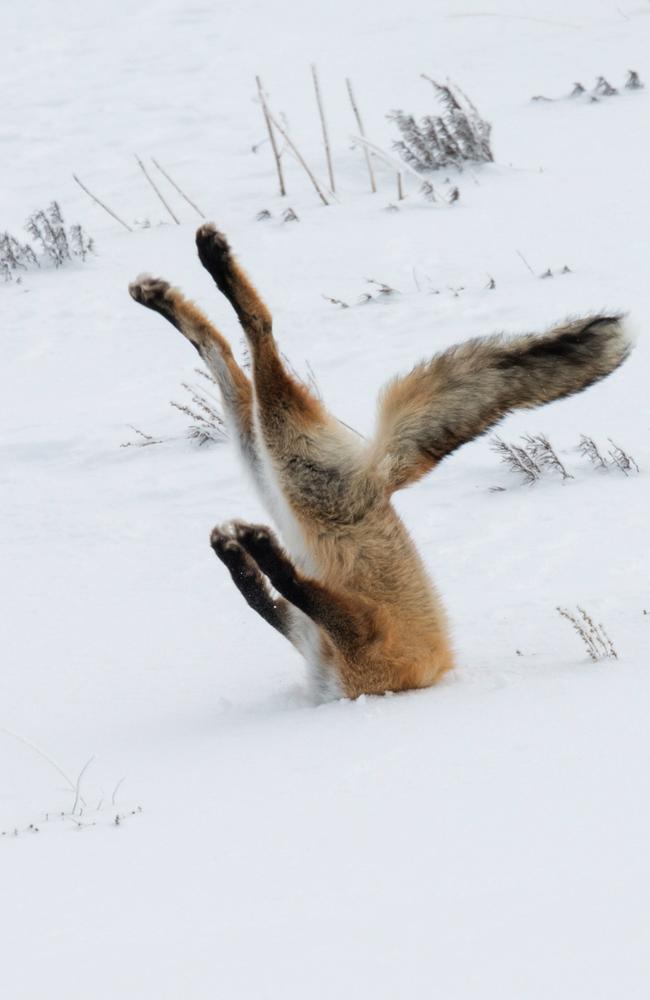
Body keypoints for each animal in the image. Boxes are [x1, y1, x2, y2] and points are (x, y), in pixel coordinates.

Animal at [129, 224, 632, 700]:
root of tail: (382, 476)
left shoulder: (361, 637)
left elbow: (285, 588)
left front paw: (254, 549)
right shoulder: (315, 634)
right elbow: (262, 597)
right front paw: (238, 553)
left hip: (287, 463)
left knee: (259, 332)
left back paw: (211, 263)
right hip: (269, 461)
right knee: (223, 351)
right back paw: (164, 294)